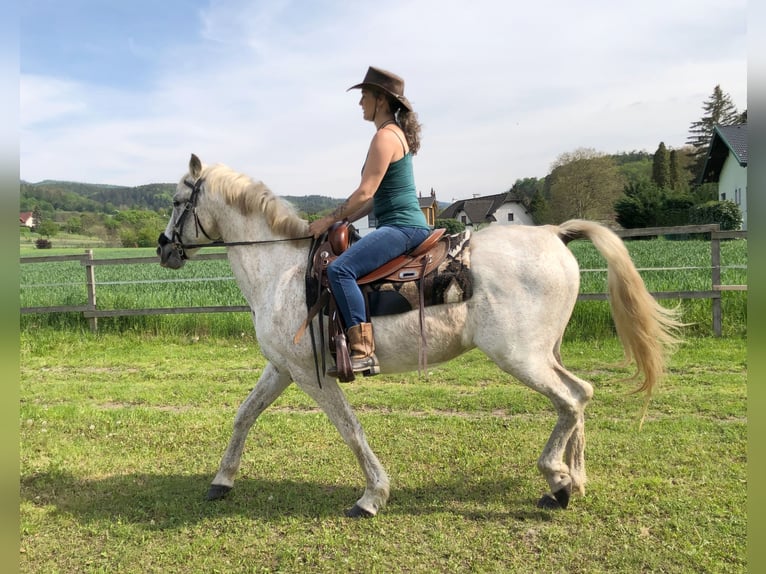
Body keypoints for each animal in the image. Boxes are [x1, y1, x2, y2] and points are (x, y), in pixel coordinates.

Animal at [158, 155, 684, 520]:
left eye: (178, 201)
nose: (164, 248)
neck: (281, 271)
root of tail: (554, 233)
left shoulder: (311, 375)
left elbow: (350, 429)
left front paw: (372, 496)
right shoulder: (282, 368)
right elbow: (244, 416)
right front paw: (222, 480)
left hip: (520, 356)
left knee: (571, 400)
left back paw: (557, 481)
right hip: (543, 353)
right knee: (582, 393)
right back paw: (576, 478)